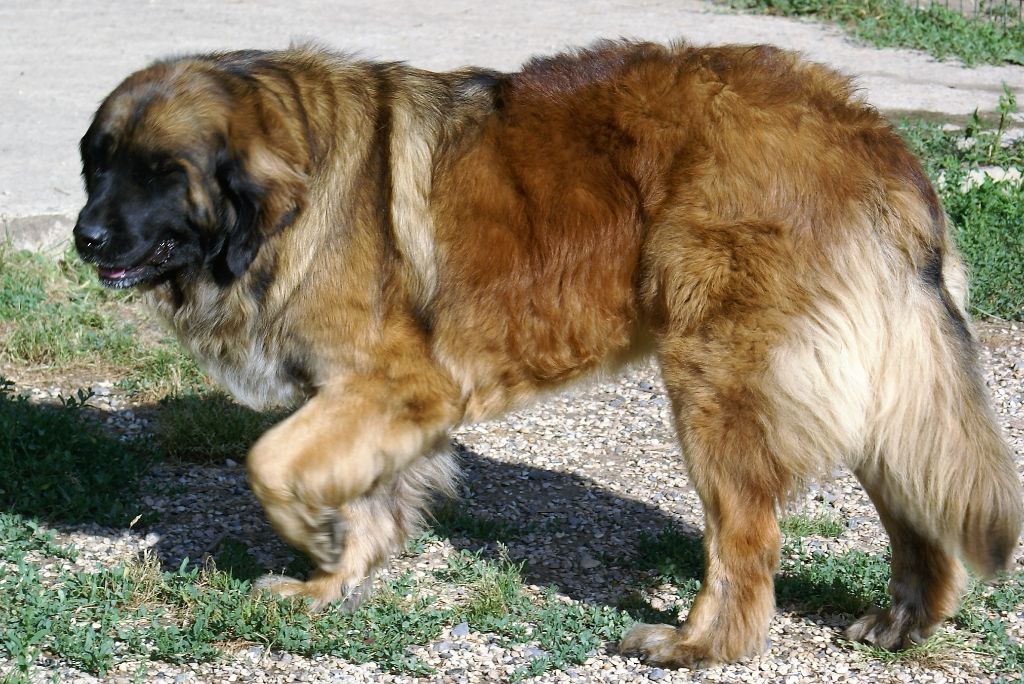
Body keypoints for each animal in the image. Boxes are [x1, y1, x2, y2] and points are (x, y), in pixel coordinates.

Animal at [75, 40, 1019, 663]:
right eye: (97, 163)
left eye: (160, 172)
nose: (86, 237)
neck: (298, 192)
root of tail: (866, 132)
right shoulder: (376, 405)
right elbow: (366, 500)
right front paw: (331, 580)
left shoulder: (396, 385)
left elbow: (267, 461)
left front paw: (310, 535)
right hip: (877, 378)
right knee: (912, 508)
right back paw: (902, 623)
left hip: (718, 385)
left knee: (746, 542)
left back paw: (697, 644)